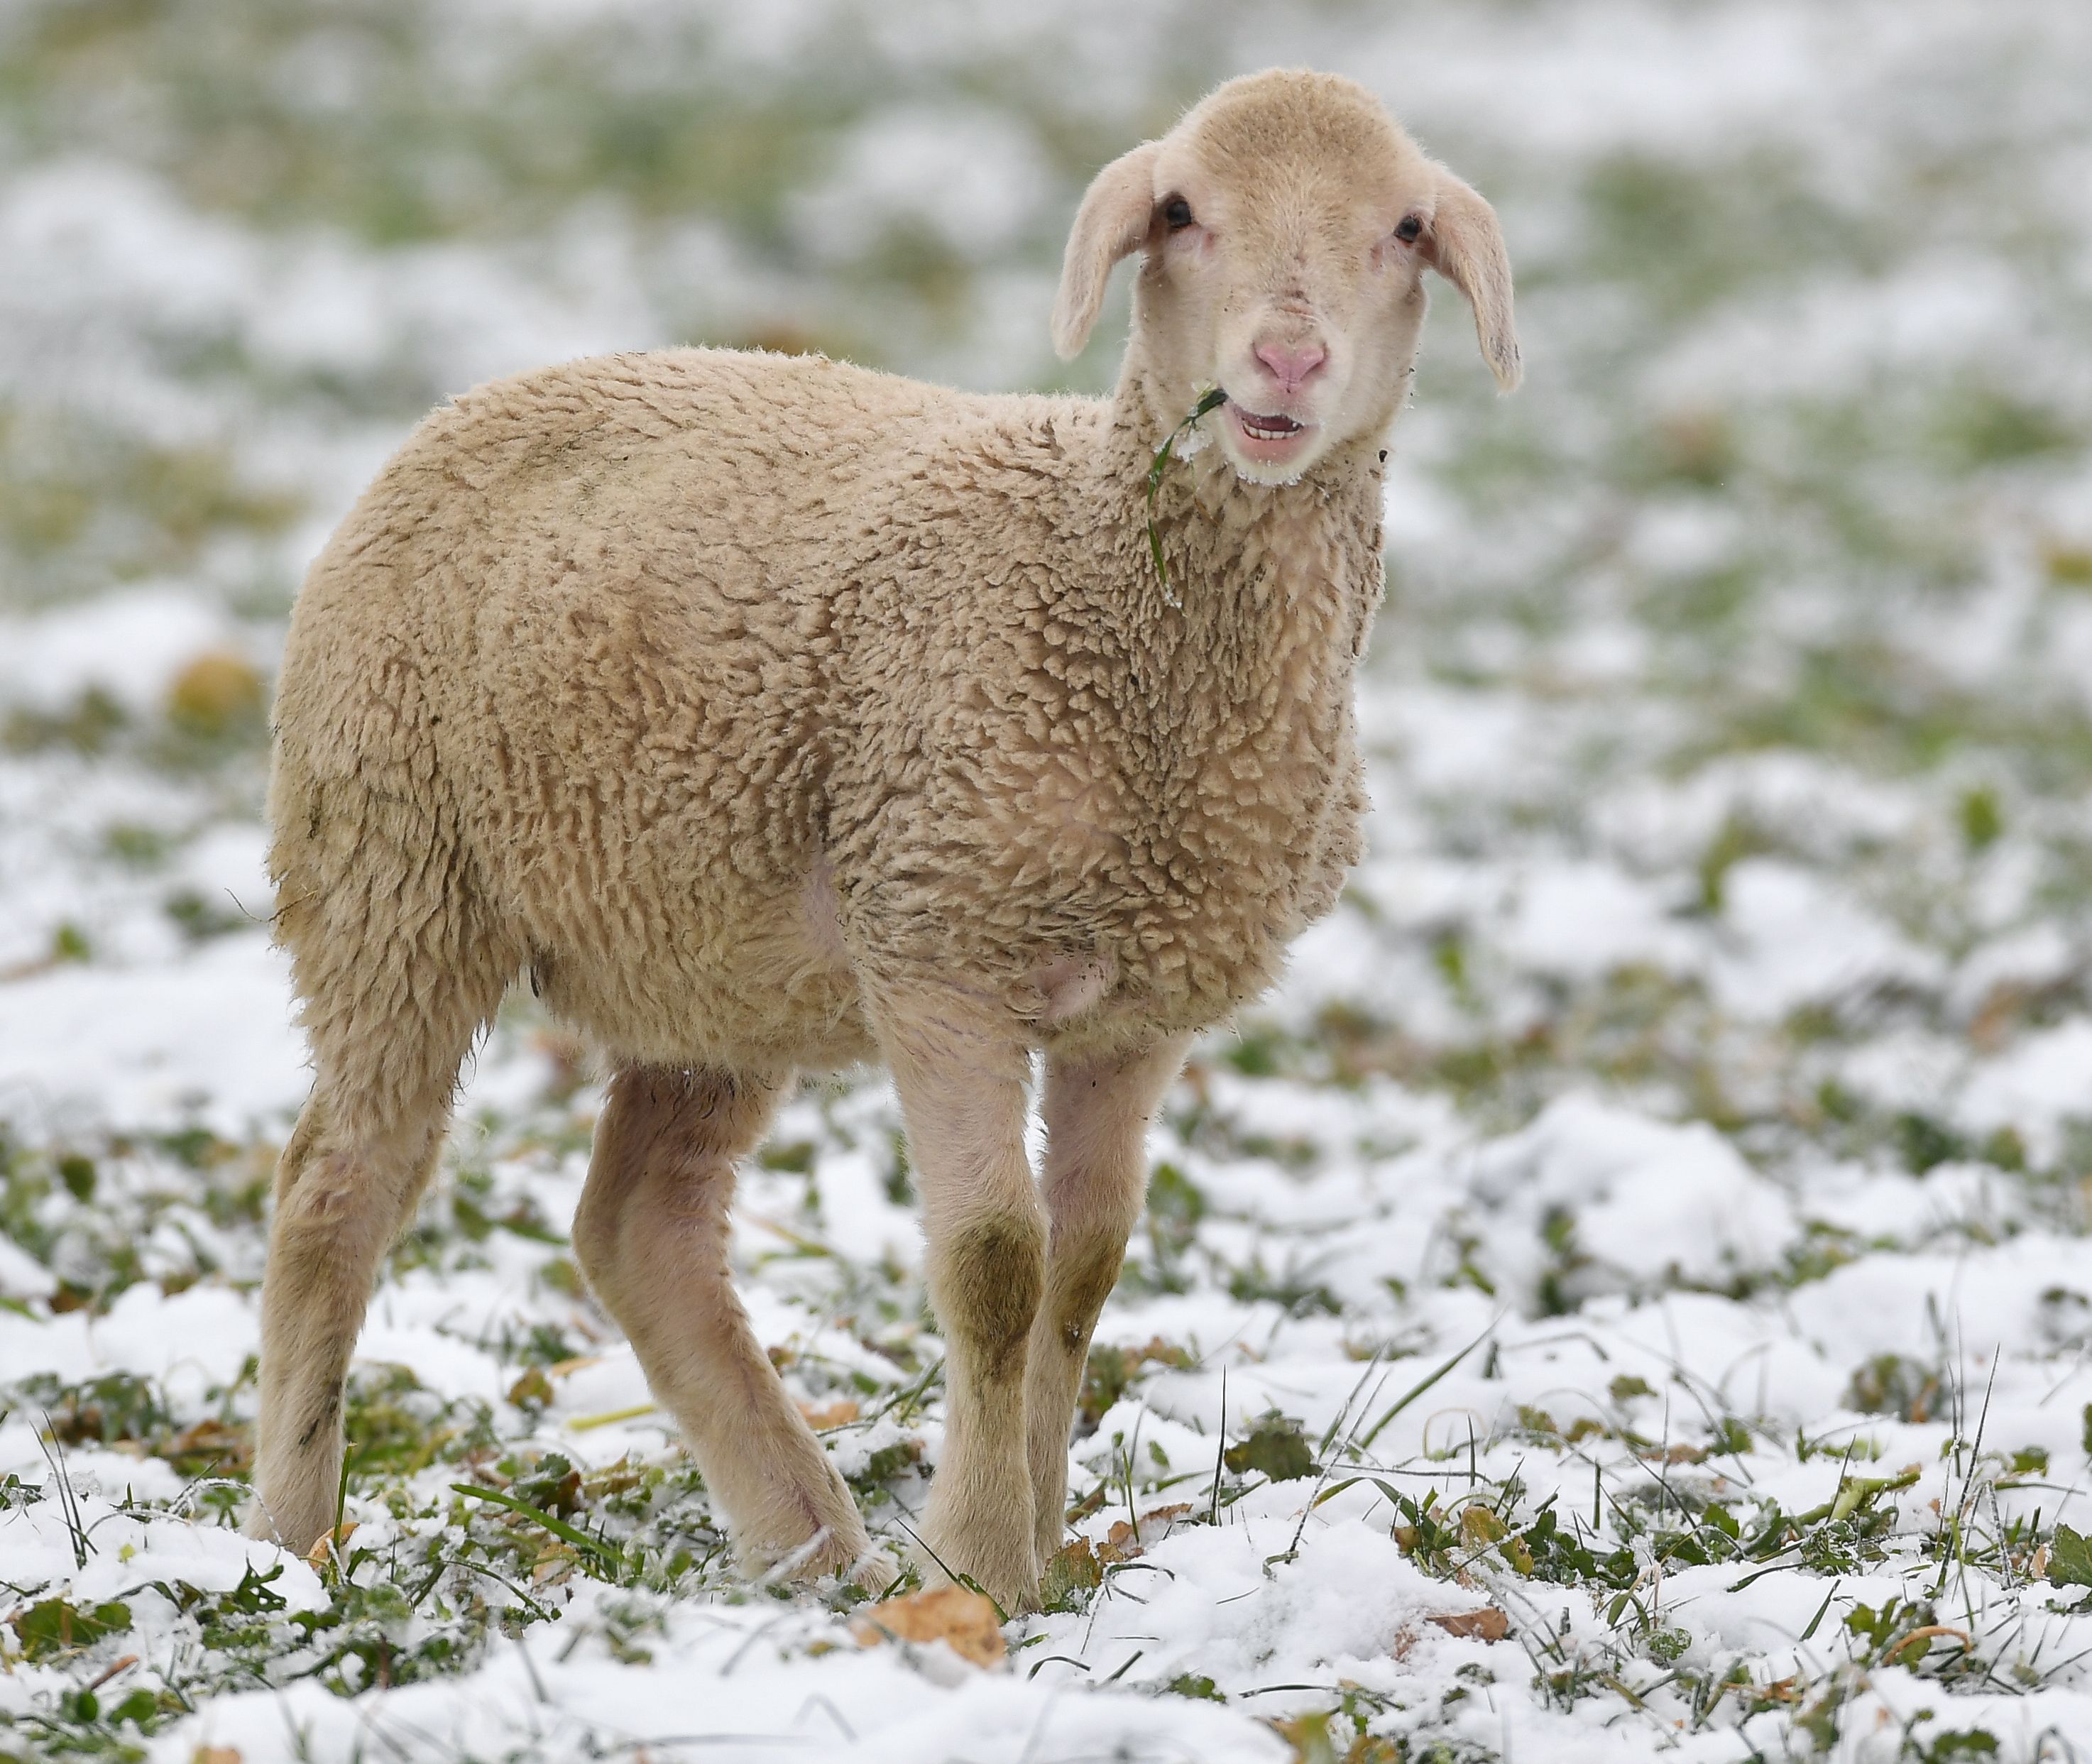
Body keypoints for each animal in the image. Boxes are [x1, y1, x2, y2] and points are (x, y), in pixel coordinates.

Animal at [244, 69, 1523, 1615]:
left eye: (1402, 228)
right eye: (1180, 212)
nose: (1283, 363)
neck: (1106, 586)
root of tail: (463, 405)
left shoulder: (1135, 1011)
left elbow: (1087, 1270)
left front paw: (1042, 1548)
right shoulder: (940, 953)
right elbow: (996, 1267)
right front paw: (976, 1563)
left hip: (706, 959)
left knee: (640, 1227)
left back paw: (805, 1540)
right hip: (391, 868)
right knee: (336, 1193)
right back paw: (290, 1541)